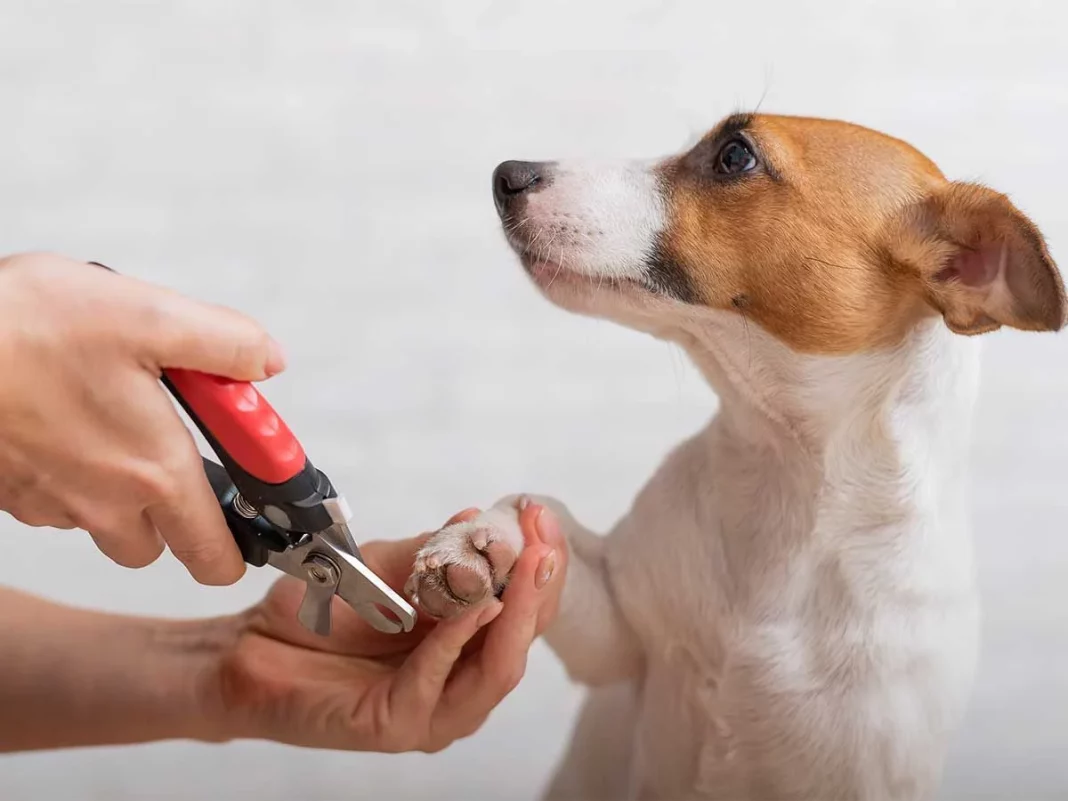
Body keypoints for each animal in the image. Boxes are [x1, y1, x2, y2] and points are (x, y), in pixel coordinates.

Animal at [403, 114, 1063, 801]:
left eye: (735, 156)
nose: (507, 175)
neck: (788, 475)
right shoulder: (616, 640)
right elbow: (541, 516)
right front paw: (481, 542)